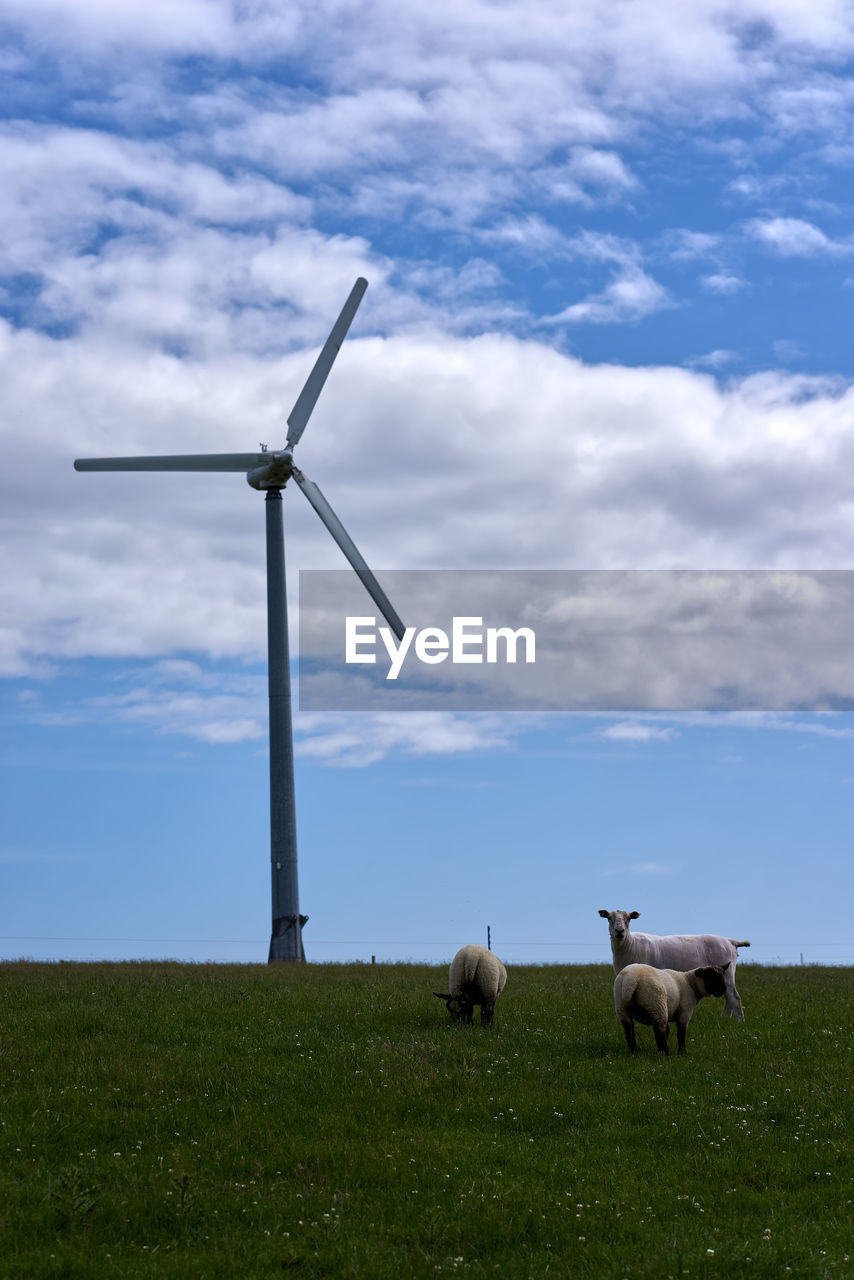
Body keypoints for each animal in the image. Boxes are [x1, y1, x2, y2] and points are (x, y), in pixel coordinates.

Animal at [599, 906, 752, 1024]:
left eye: (628, 918)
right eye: (609, 918)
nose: (619, 931)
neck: (630, 944)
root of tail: (729, 941)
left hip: (726, 974)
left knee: (734, 998)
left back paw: (740, 1022)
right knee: (728, 998)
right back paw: (725, 1020)